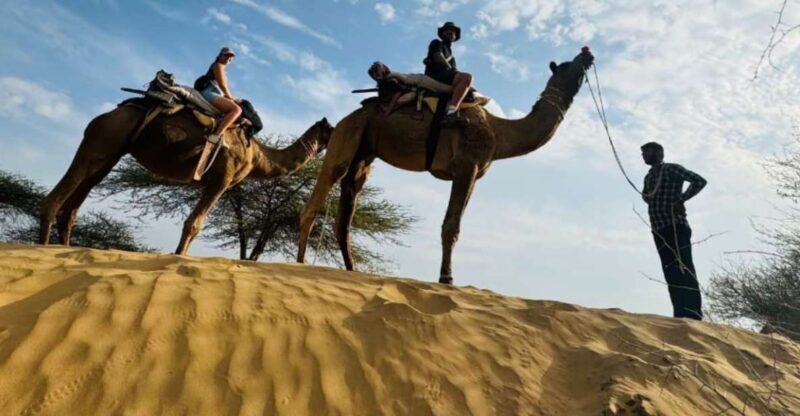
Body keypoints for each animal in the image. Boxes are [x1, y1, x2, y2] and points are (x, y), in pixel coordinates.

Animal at [39, 102, 333, 255]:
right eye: (332, 129)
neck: (257, 154)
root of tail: (105, 115)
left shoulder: (211, 183)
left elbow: (192, 224)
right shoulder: (222, 180)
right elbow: (194, 224)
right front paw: (177, 258)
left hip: (111, 154)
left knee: (73, 207)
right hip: (102, 138)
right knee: (54, 199)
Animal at [296, 49, 594, 284]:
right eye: (568, 65)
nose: (587, 54)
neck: (499, 132)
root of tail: (346, 118)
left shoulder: (474, 174)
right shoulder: (466, 165)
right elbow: (451, 226)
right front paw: (446, 278)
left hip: (364, 154)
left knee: (346, 211)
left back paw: (352, 271)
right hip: (346, 136)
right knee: (318, 197)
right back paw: (299, 264)